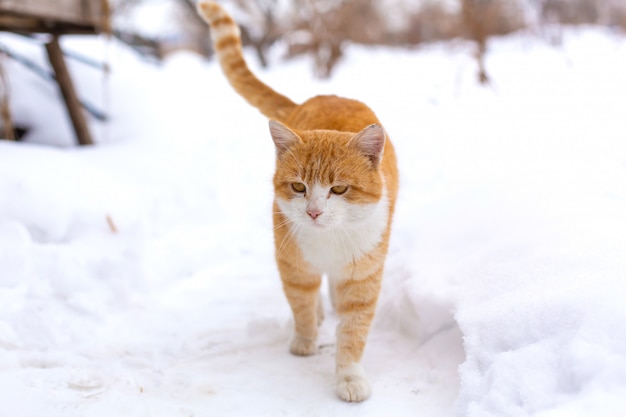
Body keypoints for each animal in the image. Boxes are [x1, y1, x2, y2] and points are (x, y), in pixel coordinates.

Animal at [197, 1, 398, 402]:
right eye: (298, 187)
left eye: (339, 190)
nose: (314, 212)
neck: (329, 242)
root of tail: (316, 97)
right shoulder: (293, 265)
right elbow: (302, 304)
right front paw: (305, 341)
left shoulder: (364, 276)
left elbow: (353, 332)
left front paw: (349, 376)